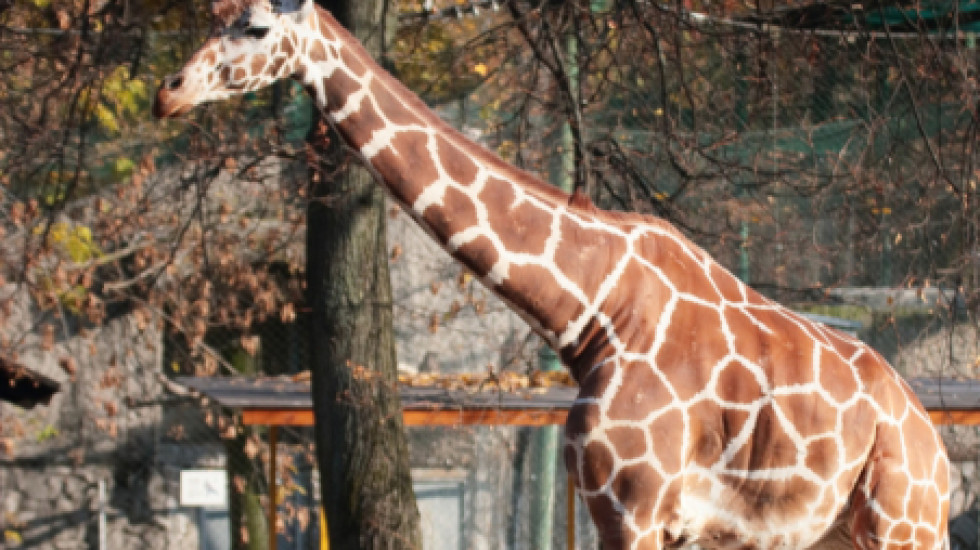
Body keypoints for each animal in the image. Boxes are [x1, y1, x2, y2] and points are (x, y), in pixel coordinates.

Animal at [153, 1, 951, 548]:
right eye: (215, 12)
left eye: (257, 26)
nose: (170, 90)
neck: (594, 308)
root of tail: (935, 447)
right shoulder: (626, 512)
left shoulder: (634, 508)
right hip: (838, 532)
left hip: (899, 524)